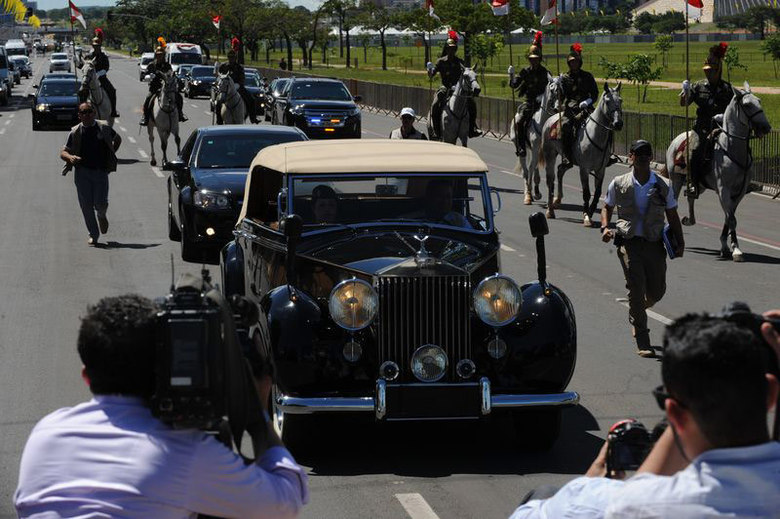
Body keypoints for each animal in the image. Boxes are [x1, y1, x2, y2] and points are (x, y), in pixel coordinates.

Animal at [512, 75, 560, 205]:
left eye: (560, 90)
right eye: (552, 89)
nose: (556, 108)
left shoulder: (548, 151)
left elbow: (549, 172)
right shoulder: (535, 148)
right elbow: (530, 168)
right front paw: (528, 195)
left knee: (535, 169)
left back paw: (537, 193)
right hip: (522, 149)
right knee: (526, 170)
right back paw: (527, 193)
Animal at [540, 82, 624, 225]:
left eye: (621, 100)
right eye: (607, 101)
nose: (618, 123)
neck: (596, 135)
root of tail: (550, 119)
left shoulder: (600, 170)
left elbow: (597, 192)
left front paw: (591, 211)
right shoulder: (584, 169)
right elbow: (586, 192)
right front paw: (586, 216)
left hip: (568, 160)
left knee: (560, 170)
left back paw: (558, 200)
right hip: (550, 154)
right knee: (550, 180)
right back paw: (550, 210)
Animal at [660, 83, 772, 262]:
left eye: (759, 101)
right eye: (747, 105)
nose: (766, 127)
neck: (732, 148)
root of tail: (677, 139)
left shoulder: (739, 192)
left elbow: (729, 216)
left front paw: (726, 246)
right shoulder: (723, 189)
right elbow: (731, 219)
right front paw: (736, 250)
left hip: (699, 184)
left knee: (691, 197)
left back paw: (690, 220)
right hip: (675, 179)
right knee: (674, 202)